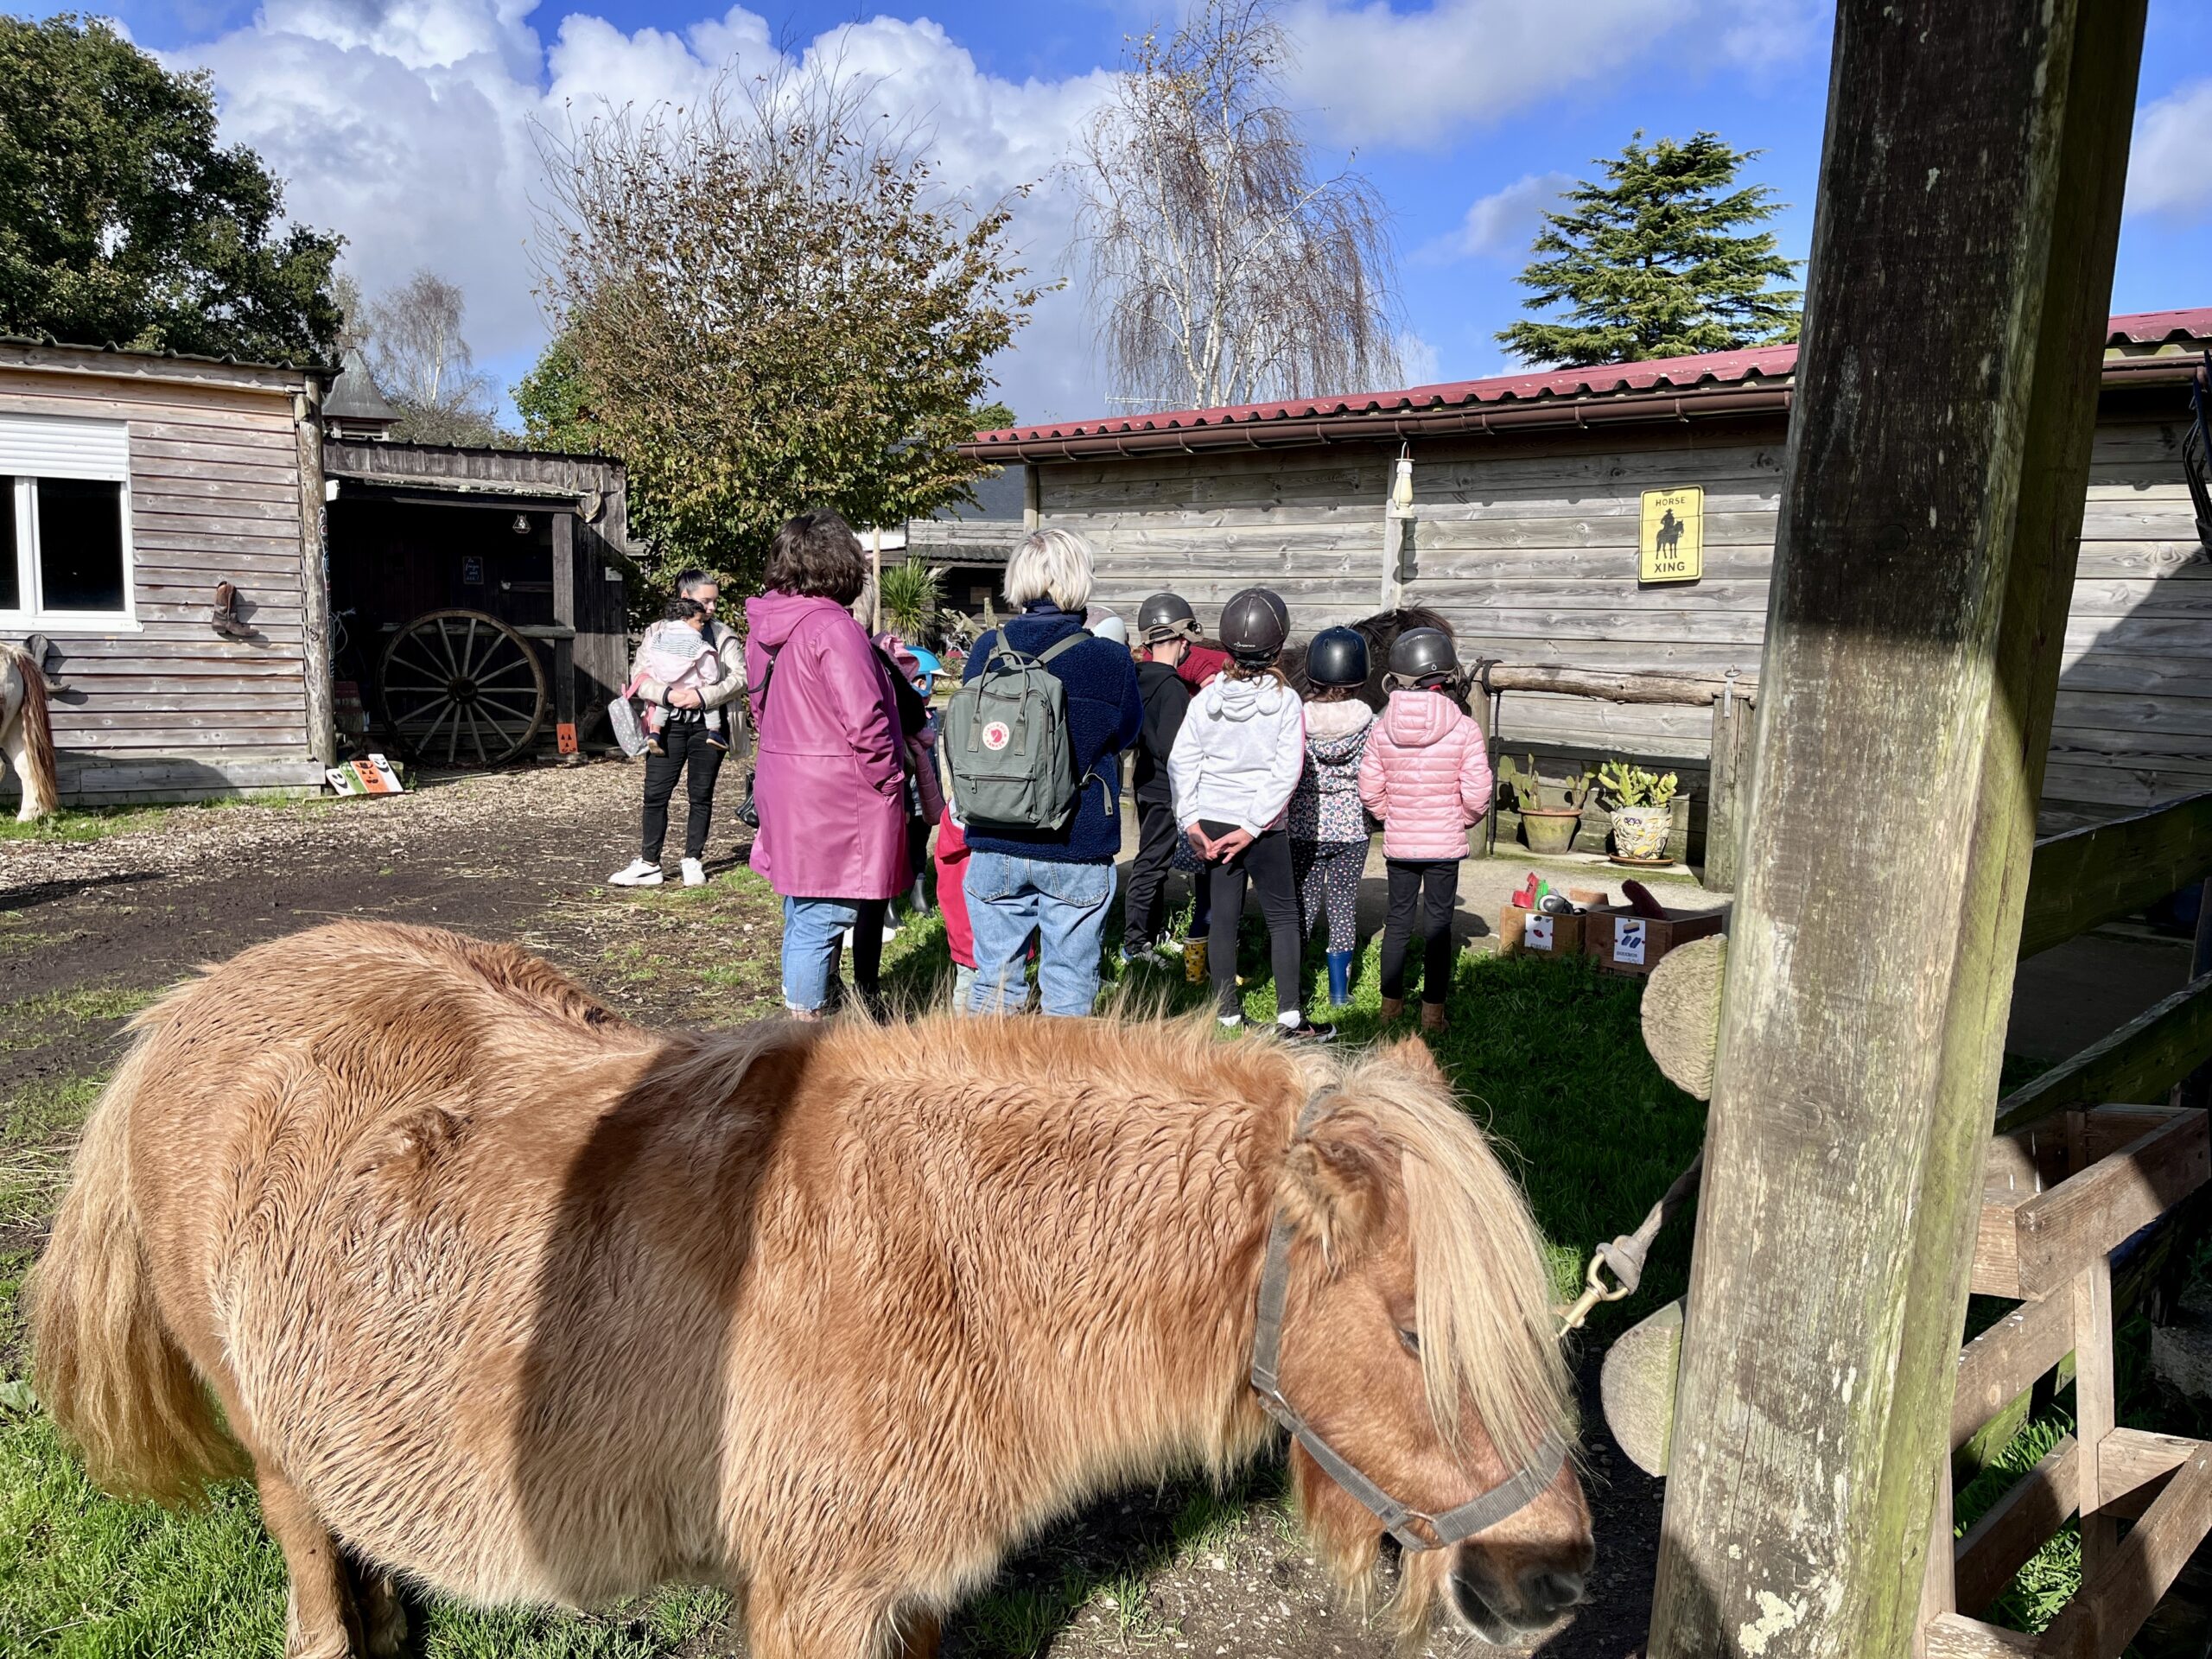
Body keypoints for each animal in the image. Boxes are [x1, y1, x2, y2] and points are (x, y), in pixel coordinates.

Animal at [31, 921, 1590, 1659]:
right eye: (1414, 1333)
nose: (1556, 1579)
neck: (944, 1263)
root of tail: (194, 1006)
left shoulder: (911, 1592)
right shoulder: (816, 1601)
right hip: (268, 1434)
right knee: (307, 1561)